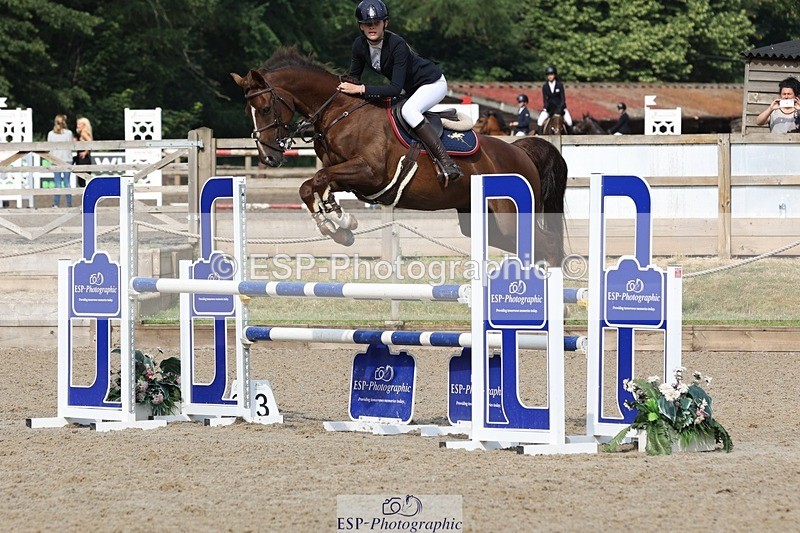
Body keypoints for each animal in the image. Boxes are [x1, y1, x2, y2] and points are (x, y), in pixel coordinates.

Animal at [231, 47, 568, 265]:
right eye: (247, 111)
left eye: (265, 109)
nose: (268, 157)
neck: (340, 112)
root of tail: (520, 151)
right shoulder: (352, 178)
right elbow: (311, 186)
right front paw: (337, 226)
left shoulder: (369, 173)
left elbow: (319, 179)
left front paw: (340, 220)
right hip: (483, 221)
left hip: (510, 216)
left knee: (546, 246)